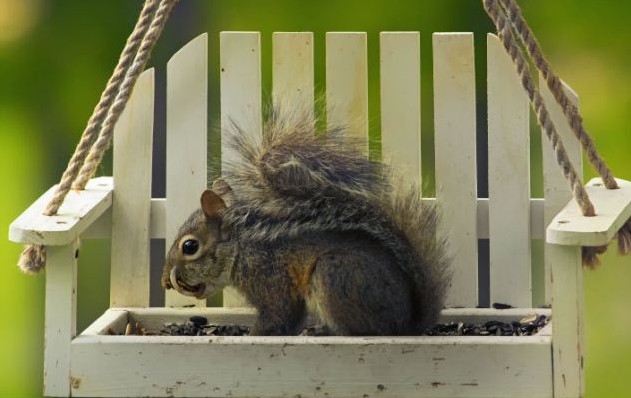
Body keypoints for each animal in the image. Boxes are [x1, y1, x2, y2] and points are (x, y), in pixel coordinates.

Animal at [160, 105, 452, 336]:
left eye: (190, 246)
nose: (166, 281)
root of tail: (406, 324)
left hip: (334, 274)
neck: (241, 248)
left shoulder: (269, 276)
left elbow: (280, 316)